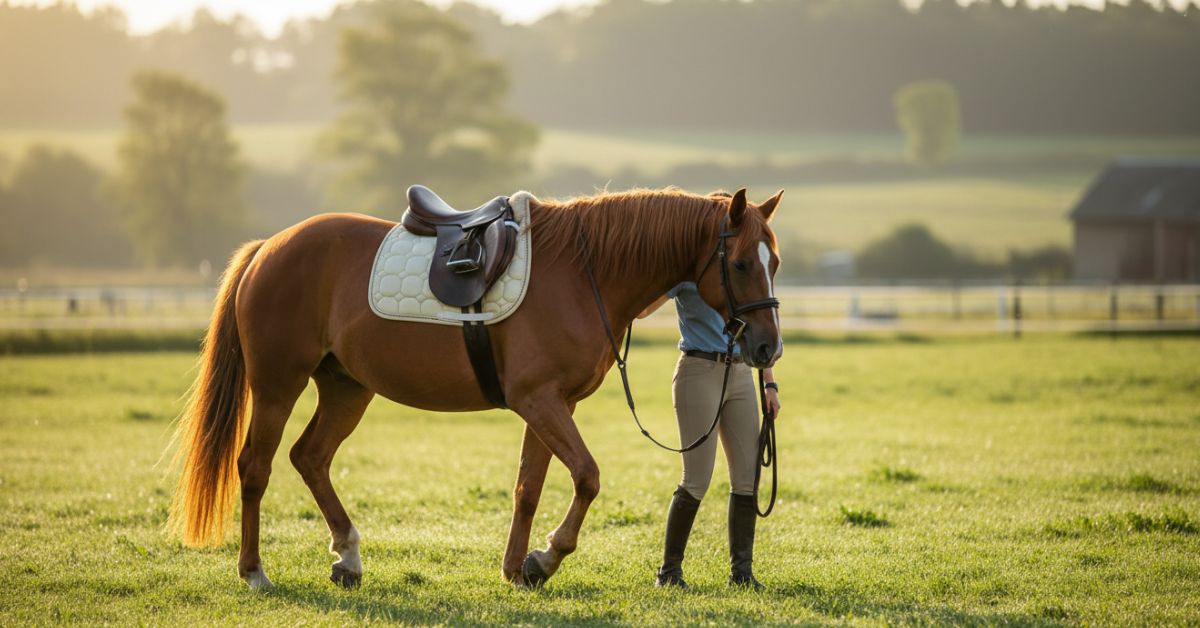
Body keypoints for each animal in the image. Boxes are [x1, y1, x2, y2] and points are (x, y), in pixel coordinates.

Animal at [167, 186, 784, 589]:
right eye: (739, 263)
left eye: (774, 261)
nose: (767, 350)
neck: (583, 273)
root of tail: (269, 247)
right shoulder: (539, 400)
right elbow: (587, 476)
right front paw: (546, 558)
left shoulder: (550, 404)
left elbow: (529, 488)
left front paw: (519, 568)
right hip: (278, 386)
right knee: (256, 466)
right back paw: (254, 571)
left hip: (347, 388)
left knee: (310, 457)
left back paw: (348, 556)